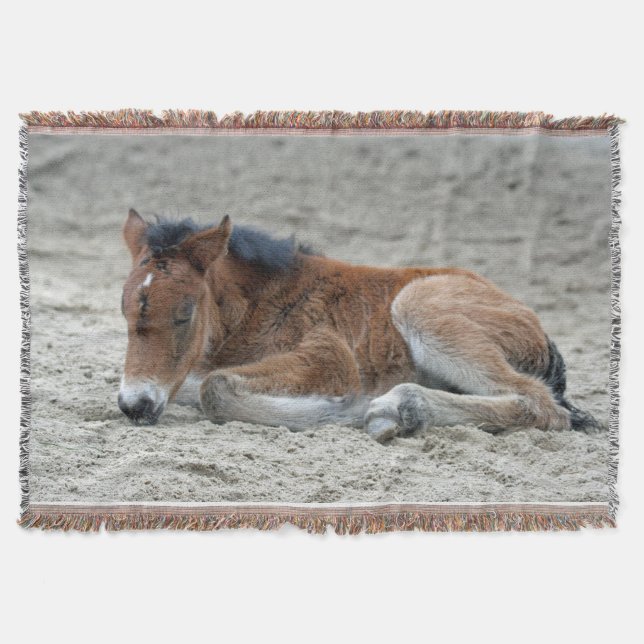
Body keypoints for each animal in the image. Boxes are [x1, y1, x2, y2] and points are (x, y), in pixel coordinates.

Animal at [118, 209, 600, 441]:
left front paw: (342, 410)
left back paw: (399, 409)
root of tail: (534, 325)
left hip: (419, 305)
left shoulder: (331, 357)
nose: (134, 406)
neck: (264, 301)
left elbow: (213, 389)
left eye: (185, 313)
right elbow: (196, 386)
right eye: (124, 312)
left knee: (540, 403)